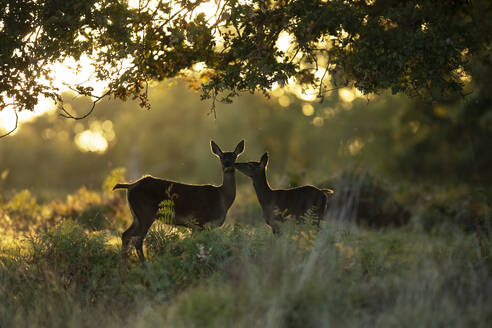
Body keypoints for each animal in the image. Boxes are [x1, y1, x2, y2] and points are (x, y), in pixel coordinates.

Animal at [115, 139, 246, 264]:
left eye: (234, 156)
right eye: (221, 157)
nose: (228, 165)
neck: (223, 198)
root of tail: (130, 186)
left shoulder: (201, 226)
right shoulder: (200, 222)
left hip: (136, 216)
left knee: (126, 235)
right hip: (145, 213)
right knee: (138, 240)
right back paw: (144, 265)